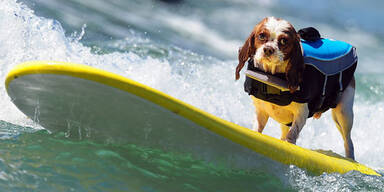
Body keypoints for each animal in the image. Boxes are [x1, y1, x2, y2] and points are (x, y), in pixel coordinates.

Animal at [236, 16, 356, 160]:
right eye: (262, 36)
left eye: (283, 41)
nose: (268, 49)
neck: (272, 75)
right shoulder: (261, 112)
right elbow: (257, 130)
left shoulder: (301, 113)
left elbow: (292, 135)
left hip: (344, 114)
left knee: (348, 142)